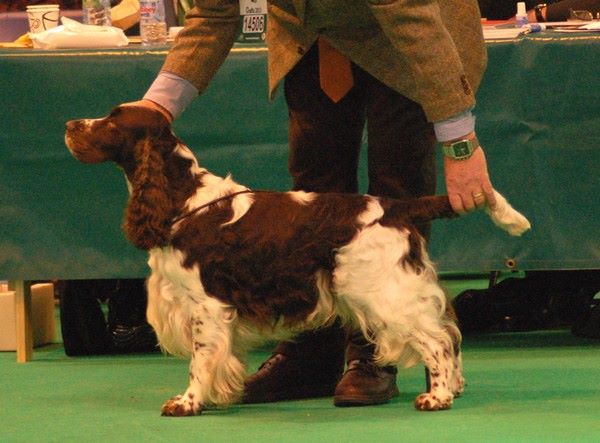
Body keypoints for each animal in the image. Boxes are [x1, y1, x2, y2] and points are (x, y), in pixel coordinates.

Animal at [65, 105, 530, 416]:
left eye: (110, 121)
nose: (69, 125)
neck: (183, 200)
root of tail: (396, 206)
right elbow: (221, 358)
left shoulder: (206, 306)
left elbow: (200, 359)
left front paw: (187, 402)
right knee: (449, 334)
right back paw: (454, 387)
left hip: (385, 292)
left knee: (438, 340)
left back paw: (437, 396)